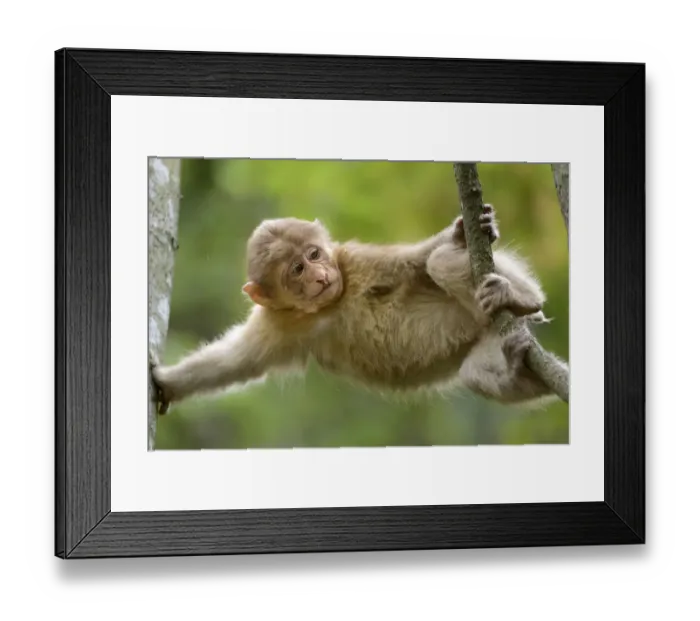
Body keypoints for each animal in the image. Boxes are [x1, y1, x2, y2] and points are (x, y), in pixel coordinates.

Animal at [151, 204, 563, 414]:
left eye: (314, 254)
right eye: (297, 269)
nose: (319, 275)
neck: (326, 307)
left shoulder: (354, 262)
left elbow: (417, 261)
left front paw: (459, 232)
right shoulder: (279, 324)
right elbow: (230, 364)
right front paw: (165, 384)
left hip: (496, 315)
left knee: (440, 262)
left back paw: (521, 298)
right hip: (498, 339)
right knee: (477, 373)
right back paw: (514, 372)